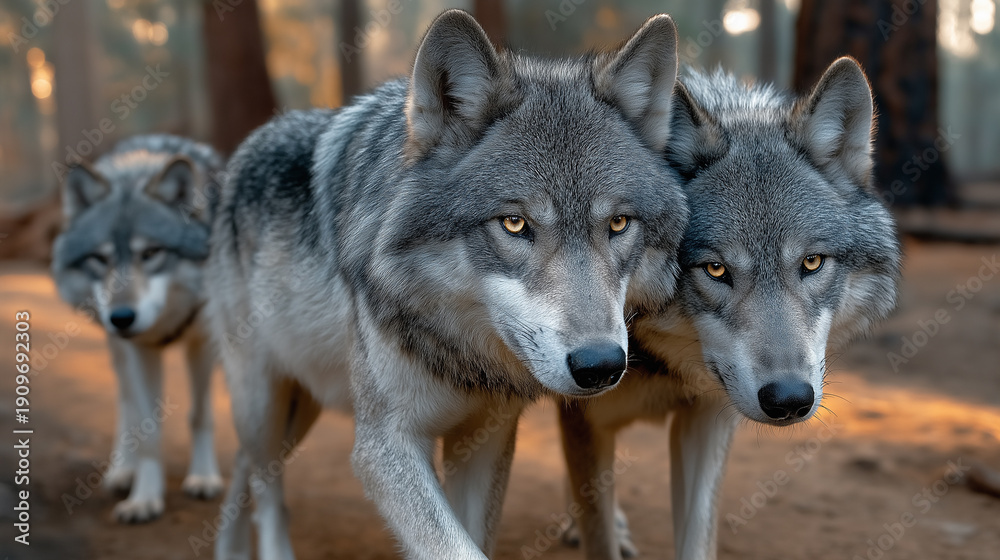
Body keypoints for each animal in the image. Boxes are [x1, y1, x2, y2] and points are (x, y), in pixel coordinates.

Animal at [51, 134, 225, 523]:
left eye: (150, 253)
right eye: (100, 259)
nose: (122, 317)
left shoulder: (203, 341)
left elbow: (200, 415)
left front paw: (203, 478)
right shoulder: (138, 349)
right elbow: (147, 433)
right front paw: (144, 498)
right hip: (118, 350)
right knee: (126, 403)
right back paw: (123, 471)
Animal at [206, 10, 688, 560]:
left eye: (618, 224)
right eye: (514, 224)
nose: (601, 365)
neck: (459, 353)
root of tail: (250, 143)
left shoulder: (485, 436)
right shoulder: (384, 444)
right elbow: (452, 545)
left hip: (303, 402)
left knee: (244, 469)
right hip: (264, 403)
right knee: (262, 482)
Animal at [559, 58, 902, 560]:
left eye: (812, 262)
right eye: (716, 269)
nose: (788, 400)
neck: (665, 367)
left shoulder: (707, 419)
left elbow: (698, 537)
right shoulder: (585, 421)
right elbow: (597, 536)